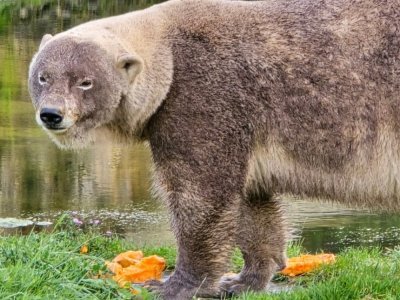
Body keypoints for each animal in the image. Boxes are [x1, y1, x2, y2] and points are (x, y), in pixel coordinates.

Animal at [29, 0, 400, 298]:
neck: (167, 49)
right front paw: (243, 280)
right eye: (43, 76)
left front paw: (173, 284)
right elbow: (252, 201)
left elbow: (201, 196)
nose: (51, 114)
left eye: (85, 81)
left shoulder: (202, 93)